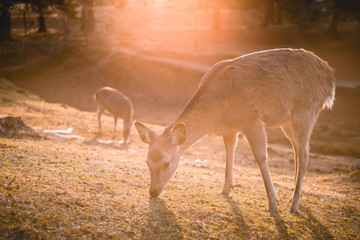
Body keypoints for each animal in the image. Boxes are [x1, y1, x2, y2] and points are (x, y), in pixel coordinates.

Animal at [134, 47, 334, 213]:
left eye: (166, 163)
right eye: (147, 162)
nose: (152, 192)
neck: (218, 114)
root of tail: (329, 77)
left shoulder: (252, 120)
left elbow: (261, 157)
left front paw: (272, 204)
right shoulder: (230, 128)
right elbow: (229, 152)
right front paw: (225, 190)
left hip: (306, 111)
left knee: (305, 152)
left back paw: (294, 204)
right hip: (288, 120)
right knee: (297, 150)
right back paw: (293, 195)